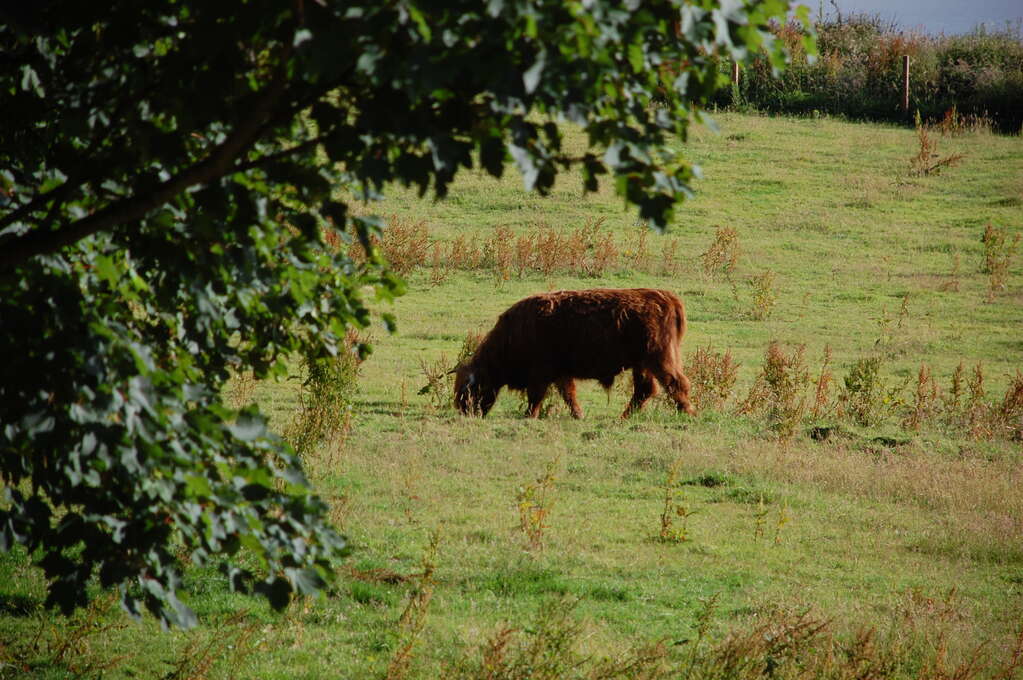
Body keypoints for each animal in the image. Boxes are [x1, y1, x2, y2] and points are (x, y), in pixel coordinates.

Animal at [454, 288, 695, 417]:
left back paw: (688, 413)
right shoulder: (561, 373)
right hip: (642, 364)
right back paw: (623, 417)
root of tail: (665, 297)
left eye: (468, 389)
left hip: (658, 358)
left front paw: (529, 416)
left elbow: (536, 396)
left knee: (675, 384)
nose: (463, 411)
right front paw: (578, 415)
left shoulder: (541, 373)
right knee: (645, 390)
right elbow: (568, 394)